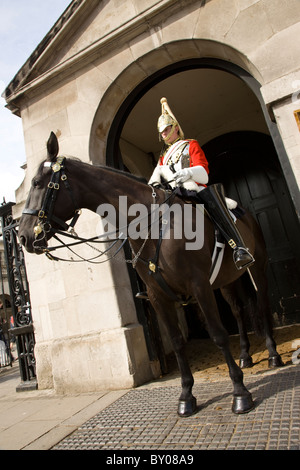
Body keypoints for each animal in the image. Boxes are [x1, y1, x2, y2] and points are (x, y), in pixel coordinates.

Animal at [18, 131, 284, 414]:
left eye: (36, 183)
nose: (23, 237)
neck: (152, 225)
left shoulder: (199, 285)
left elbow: (219, 334)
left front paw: (240, 392)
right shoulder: (158, 296)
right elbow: (177, 342)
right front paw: (186, 396)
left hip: (257, 269)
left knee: (262, 304)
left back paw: (273, 355)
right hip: (225, 281)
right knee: (238, 310)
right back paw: (245, 356)